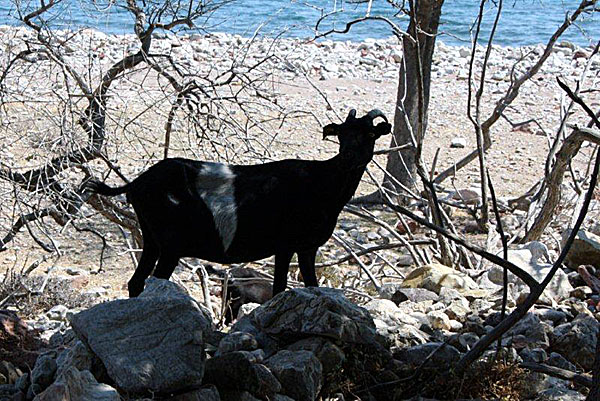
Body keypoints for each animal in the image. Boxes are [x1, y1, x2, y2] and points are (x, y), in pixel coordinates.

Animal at [86, 109, 392, 296]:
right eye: (342, 135)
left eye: (369, 134)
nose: (349, 158)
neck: (322, 181)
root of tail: (135, 183)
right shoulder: (287, 245)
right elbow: (280, 288)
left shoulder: (305, 248)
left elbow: (310, 285)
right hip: (171, 244)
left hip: (151, 239)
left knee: (136, 282)